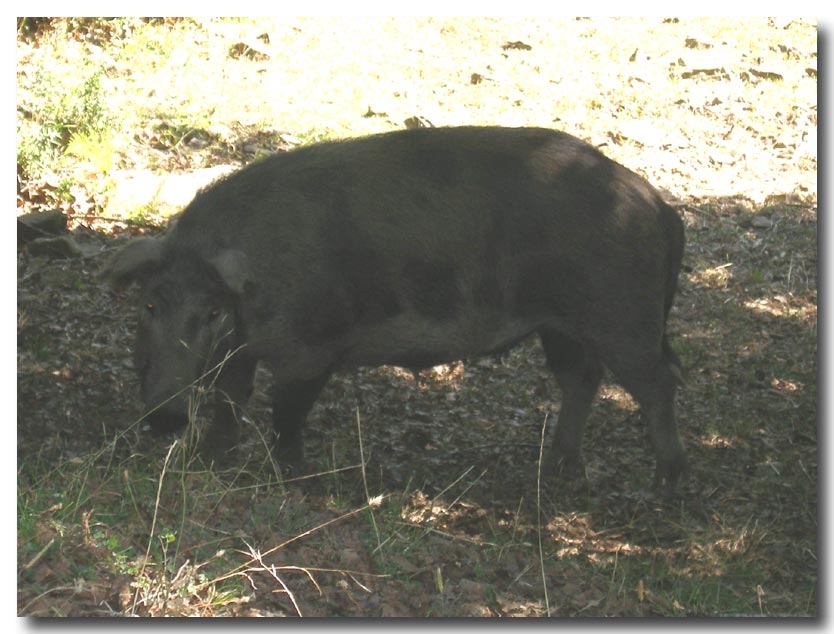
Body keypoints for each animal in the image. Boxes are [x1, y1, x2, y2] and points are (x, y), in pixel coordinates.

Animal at [104, 126, 684, 494]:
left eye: (210, 312)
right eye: (150, 304)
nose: (164, 417)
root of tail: (657, 204)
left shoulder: (314, 349)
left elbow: (287, 414)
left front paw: (293, 479)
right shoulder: (242, 354)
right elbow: (229, 402)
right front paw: (211, 463)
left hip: (623, 316)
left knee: (659, 381)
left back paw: (665, 485)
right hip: (561, 325)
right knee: (581, 379)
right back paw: (558, 472)